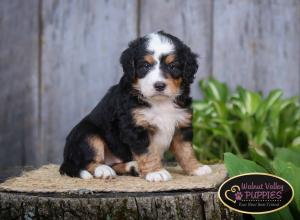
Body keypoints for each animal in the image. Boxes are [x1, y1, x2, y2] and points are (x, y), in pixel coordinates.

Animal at [59, 31, 212, 182]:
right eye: (145, 66)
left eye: (173, 66)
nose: (159, 85)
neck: (160, 102)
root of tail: (67, 157)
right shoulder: (136, 127)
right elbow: (148, 152)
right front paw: (155, 172)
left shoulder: (182, 124)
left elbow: (186, 150)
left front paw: (196, 168)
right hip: (87, 134)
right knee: (88, 162)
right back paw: (103, 170)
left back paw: (132, 167)